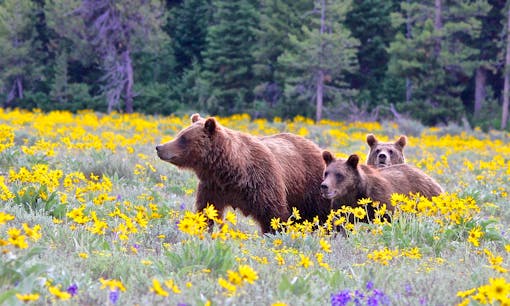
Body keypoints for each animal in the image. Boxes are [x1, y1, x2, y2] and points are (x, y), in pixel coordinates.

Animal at [155, 113, 330, 233]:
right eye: (180, 134)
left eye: (183, 138)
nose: (159, 147)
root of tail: (316, 146)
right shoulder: (213, 187)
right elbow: (206, 211)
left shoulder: (263, 182)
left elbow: (273, 215)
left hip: (310, 187)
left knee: (321, 214)